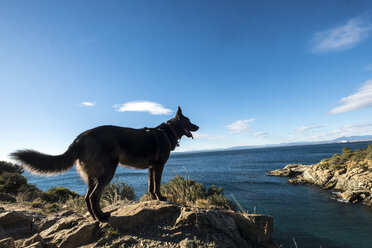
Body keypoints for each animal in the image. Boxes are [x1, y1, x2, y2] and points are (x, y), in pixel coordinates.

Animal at [10, 106, 199, 221]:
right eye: (188, 120)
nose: (197, 127)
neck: (167, 131)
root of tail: (79, 139)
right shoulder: (158, 166)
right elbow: (157, 185)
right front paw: (160, 198)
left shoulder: (152, 168)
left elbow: (151, 185)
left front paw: (154, 198)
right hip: (107, 173)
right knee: (94, 197)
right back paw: (102, 217)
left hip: (92, 177)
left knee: (87, 197)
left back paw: (96, 217)